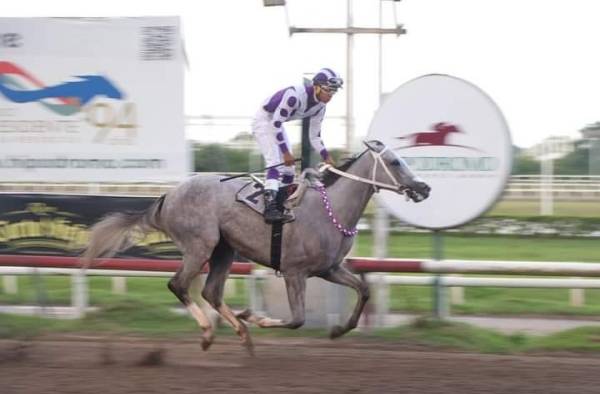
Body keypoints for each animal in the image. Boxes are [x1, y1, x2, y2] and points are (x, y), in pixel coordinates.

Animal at [83, 140, 432, 352]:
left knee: (211, 292)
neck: (329, 208)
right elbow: (297, 319)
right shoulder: (294, 272)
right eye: (395, 162)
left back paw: (241, 333)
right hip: (200, 246)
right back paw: (211, 333)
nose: (424, 187)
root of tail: (167, 196)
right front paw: (257, 317)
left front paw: (337, 330)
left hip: (224, 249)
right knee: (179, 285)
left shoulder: (329, 269)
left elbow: (364, 290)